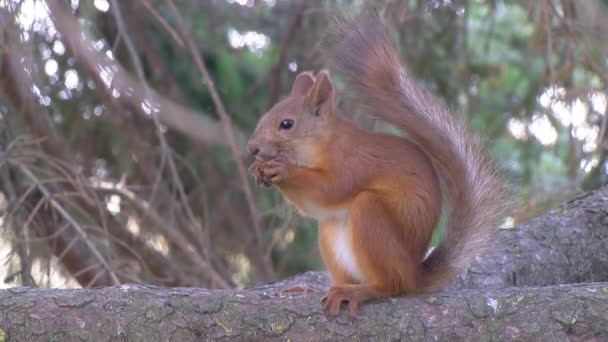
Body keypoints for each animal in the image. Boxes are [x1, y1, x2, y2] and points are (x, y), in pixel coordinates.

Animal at [245, 16, 506, 316]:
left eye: (286, 124)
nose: (252, 148)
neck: (323, 145)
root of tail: (415, 275)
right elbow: (313, 206)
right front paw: (258, 168)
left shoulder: (356, 162)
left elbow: (330, 189)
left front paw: (282, 169)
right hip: (330, 232)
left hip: (370, 216)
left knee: (391, 285)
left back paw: (359, 292)